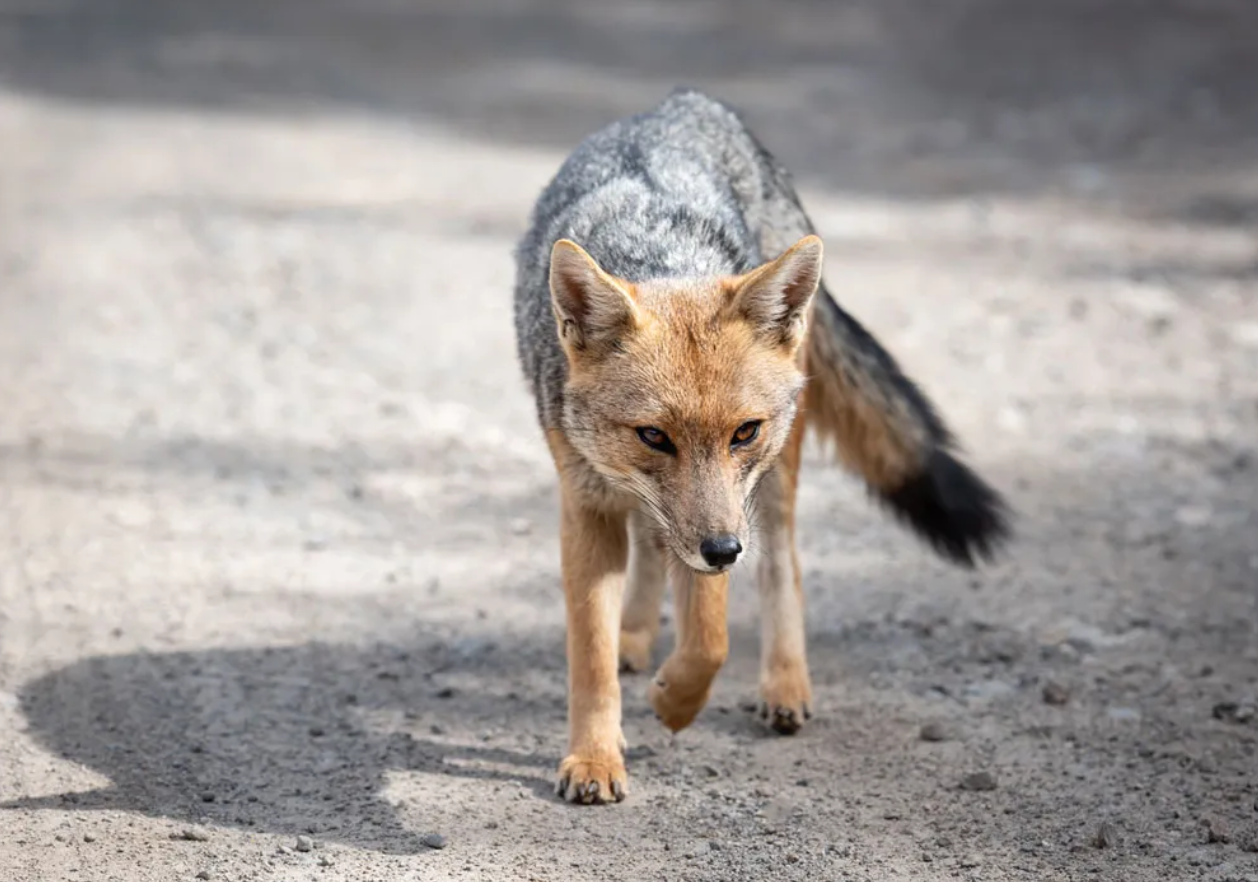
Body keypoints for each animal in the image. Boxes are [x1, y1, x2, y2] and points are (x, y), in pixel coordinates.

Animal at [510, 89, 1011, 805]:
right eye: (654, 436)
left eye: (742, 431)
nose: (723, 551)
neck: (659, 251)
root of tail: (686, 100)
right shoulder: (588, 504)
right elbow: (591, 658)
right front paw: (594, 758)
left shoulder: (725, 514)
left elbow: (711, 639)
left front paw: (675, 702)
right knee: (653, 546)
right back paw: (637, 634)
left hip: (772, 483)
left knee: (782, 567)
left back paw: (783, 683)